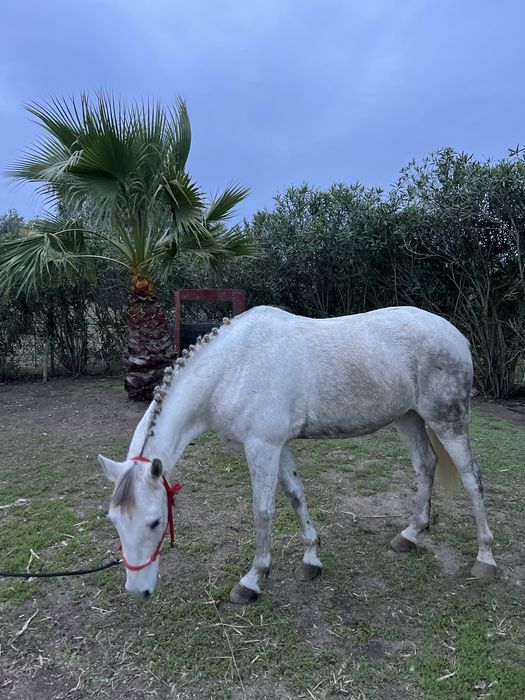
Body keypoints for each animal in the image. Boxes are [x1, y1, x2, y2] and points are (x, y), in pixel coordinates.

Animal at [99, 305, 497, 604]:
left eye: (154, 522)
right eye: (115, 522)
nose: (137, 591)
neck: (233, 367)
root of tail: (456, 335)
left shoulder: (261, 446)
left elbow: (263, 511)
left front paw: (252, 580)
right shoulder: (278, 445)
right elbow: (295, 495)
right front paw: (311, 559)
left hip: (447, 422)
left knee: (472, 478)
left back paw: (485, 558)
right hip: (409, 418)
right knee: (425, 466)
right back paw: (410, 535)